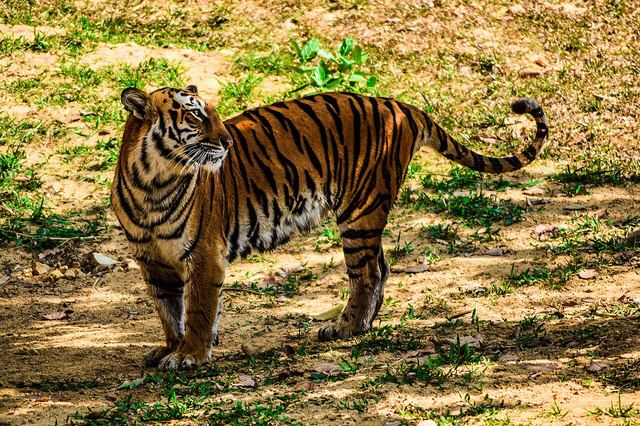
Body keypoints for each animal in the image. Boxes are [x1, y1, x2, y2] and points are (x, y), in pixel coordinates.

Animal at [111, 85, 548, 370]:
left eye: (215, 114)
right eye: (195, 114)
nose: (227, 142)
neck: (154, 181)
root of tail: (398, 104)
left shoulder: (203, 255)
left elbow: (199, 309)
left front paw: (190, 355)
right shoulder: (153, 262)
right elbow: (169, 310)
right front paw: (171, 348)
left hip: (359, 210)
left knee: (366, 273)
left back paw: (345, 327)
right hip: (365, 214)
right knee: (380, 267)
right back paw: (361, 324)